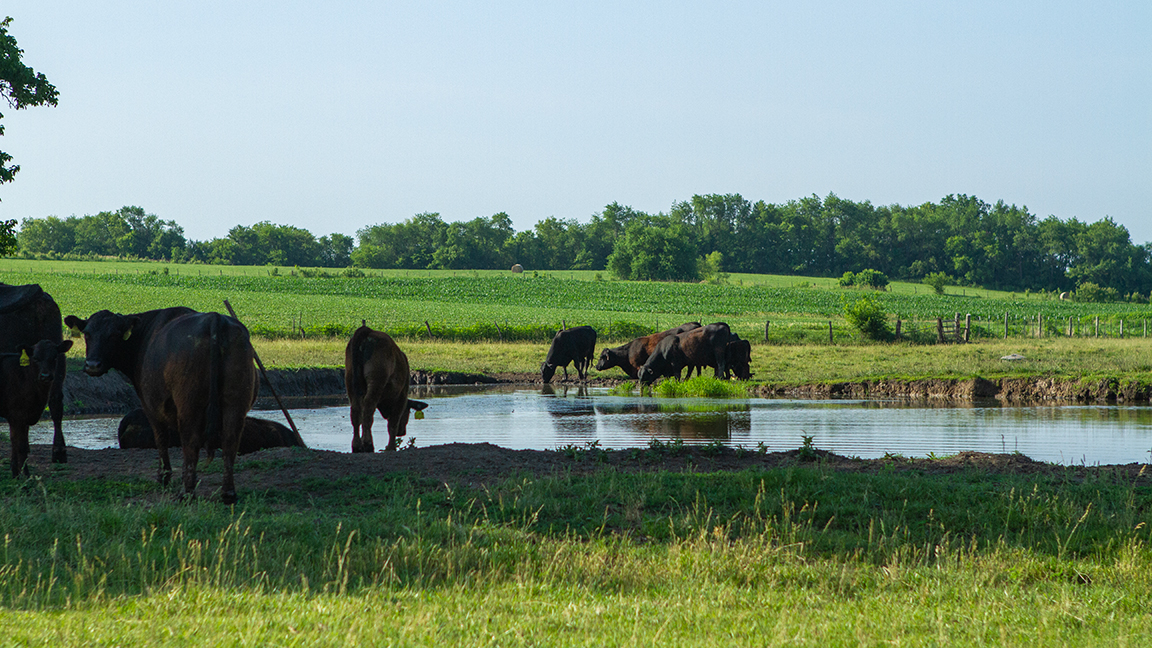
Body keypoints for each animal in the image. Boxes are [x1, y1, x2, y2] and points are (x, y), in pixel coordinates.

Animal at [0, 339, 72, 477]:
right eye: (35, 358)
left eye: (54, 357)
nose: (45, 376)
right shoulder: (17, 414)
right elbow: (21, 446)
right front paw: (25, 476)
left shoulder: (21, 417)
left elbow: (16, 443)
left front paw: (17, 474)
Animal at [64, 308, 258, 503]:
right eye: (87, 334)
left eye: (114, 334)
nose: (92, 365)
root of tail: (214, 318)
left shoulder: (151, 406)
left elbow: (161, 439)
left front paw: (163, 476)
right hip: (235, 404)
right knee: (230, 442)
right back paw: (228, 493)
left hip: (189, 405)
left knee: (191, 443)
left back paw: (186, 492)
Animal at [346, 322, 428, 452]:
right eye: (407, 412)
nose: (402, 432)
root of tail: (368, 331)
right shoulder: (401, 396)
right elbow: (393, 423)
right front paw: (391, 447)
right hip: (376, 380)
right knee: (368, 408)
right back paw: (368, 444)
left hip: (350, 380)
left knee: (356, 411)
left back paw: (357, 445)